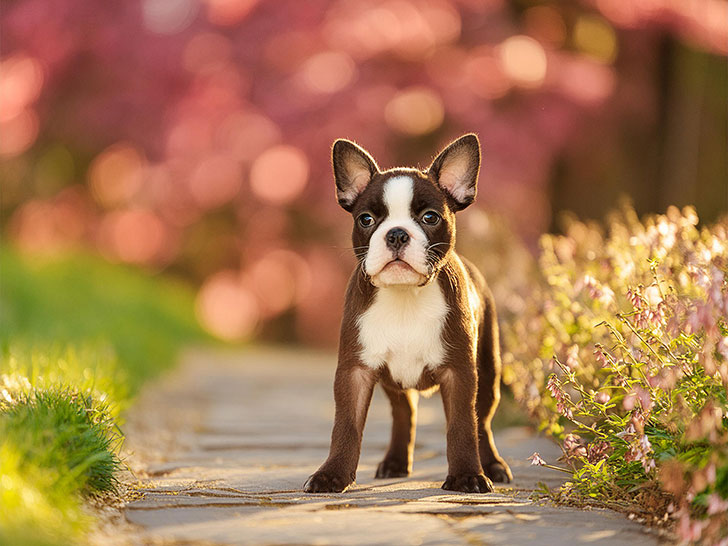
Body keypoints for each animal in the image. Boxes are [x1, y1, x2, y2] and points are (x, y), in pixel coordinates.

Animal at [302, 133, 512, 492]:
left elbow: (462, 425)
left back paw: (493, 466)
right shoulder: (354, 372)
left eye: (430, 217)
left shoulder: (460, 373)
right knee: (404, 414)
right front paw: (331, 475)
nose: (397, 233)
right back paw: (395, 463)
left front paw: (468, 475)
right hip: (393, 382)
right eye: (366, 219)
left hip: (487, 370)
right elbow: (345, 426)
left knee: (482, 420)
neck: (404, 297)